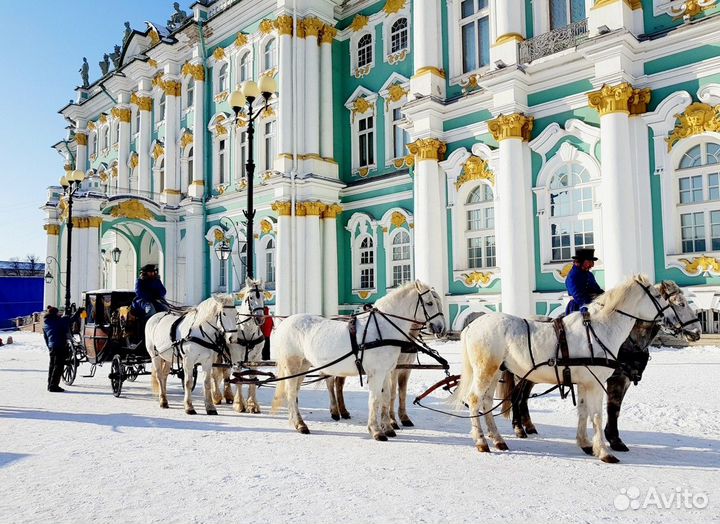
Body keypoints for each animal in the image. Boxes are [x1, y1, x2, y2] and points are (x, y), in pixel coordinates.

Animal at [211, 278, 268, 414]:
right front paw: (239, 404)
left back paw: (228, 395)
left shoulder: (255, 359)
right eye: (250, 297)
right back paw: (216, 396)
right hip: (215, 354)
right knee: (214, 373)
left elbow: (252, 377)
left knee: (225, 373)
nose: (260, 319)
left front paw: (252, 404)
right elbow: (239, 379)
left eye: (263, 296)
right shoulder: (237, 358)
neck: (247, 332)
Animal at [272, 280, 448, 440]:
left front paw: (388, 428)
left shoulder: (387, 371)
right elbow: (375, 399)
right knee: (292, 392)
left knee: (295, 392)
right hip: (293, 365)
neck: (383, 328)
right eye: (430, 303)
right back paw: (301, 424)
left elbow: (386, 397)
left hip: (303, 365)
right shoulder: (377, 373)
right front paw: (376, 430)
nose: (441, 328)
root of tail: (285, 322)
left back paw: (299, 421)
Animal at [456, 274, 680, 462]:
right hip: (486, 370)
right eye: (658, 296)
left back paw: (498, 439)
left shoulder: (583, 382)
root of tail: (472, 325)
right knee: (475, 399)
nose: (672, 319)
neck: (600, 329)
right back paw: (482, 441)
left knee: (486, 401)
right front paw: (604, 452)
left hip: (496, 372)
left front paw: (586, 444)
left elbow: (583, 412)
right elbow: (597, 416)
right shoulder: (596, 383)